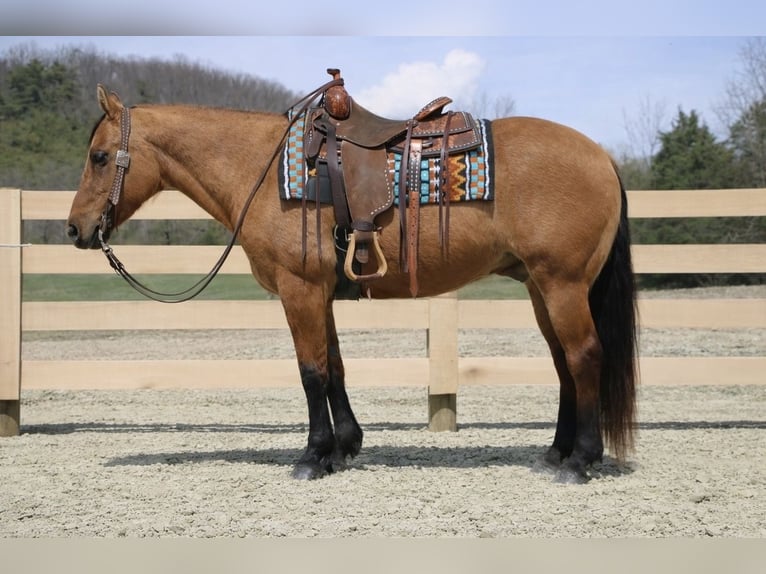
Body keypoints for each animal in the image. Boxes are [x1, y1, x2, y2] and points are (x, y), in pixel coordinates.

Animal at [66, 80, 638, 484]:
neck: (261, 171)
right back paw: (557, 452)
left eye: (99, 157)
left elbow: (310, 371)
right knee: (563, 363)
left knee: (584, 355)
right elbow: (335, 368)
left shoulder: (298, 290)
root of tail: (603, 157)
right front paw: (345, 446)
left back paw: (580, 461)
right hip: (541, 287)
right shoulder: (320, 294)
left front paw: (313, 454)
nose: (75, 229)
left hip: (563, 284)